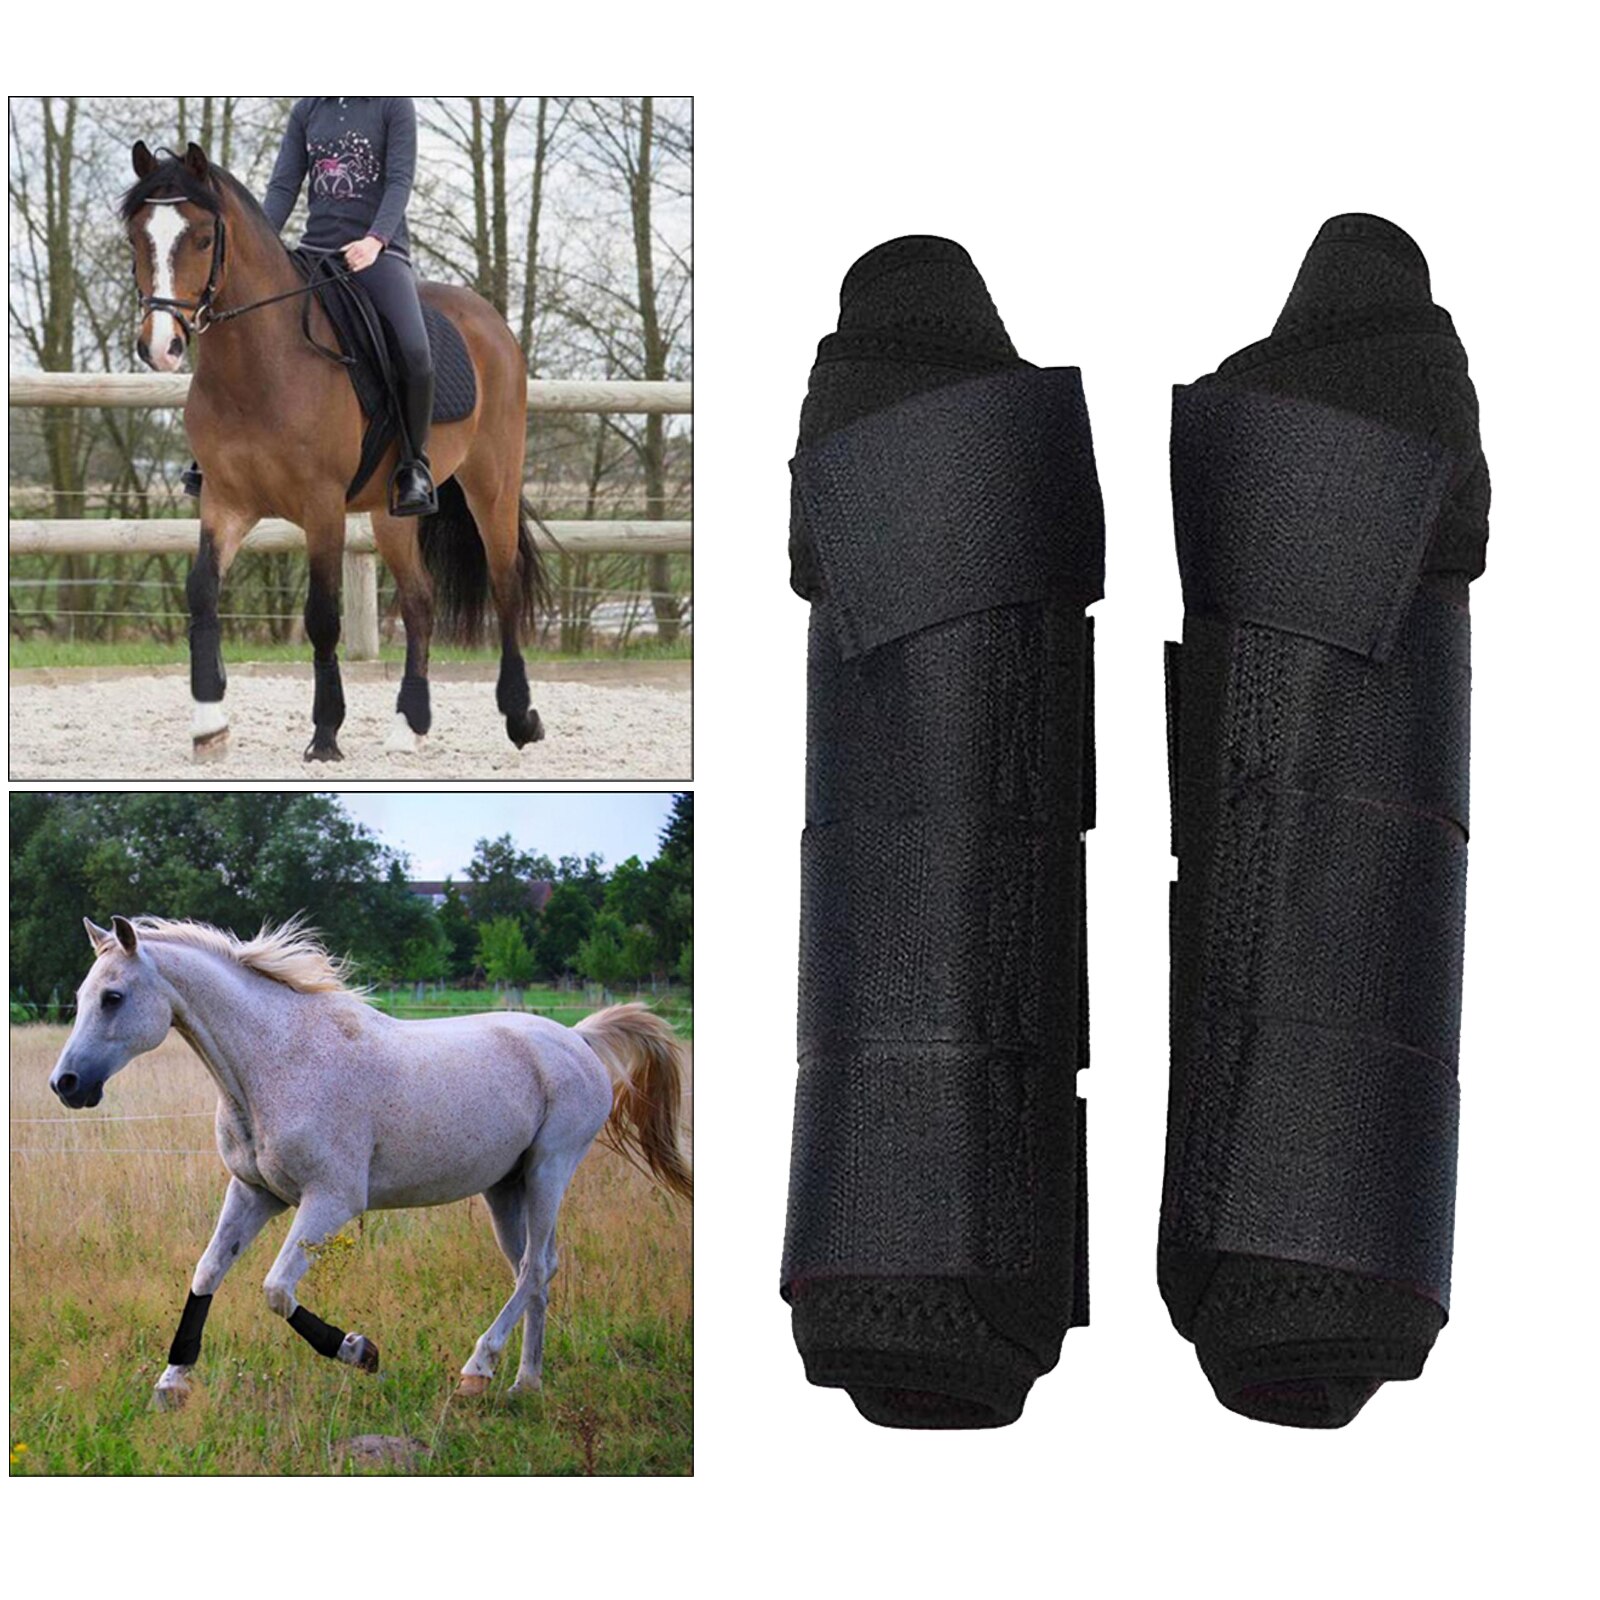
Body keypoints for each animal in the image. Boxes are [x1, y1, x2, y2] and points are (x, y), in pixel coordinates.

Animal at [48, 915, 692, 1410]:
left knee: (535, 1268)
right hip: (505, 1187)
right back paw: (523, 1385)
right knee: (534, 1271)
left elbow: (276, 1289)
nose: (66, 1084)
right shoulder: (254, 1193)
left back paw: (477, 1370)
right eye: (79, 998)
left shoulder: (330, 1200)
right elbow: (207, 1273)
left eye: (113, 997)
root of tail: (578, 1039)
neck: (275, 1062)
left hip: (549, 1170)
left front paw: (359, 1351)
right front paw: (171, 1384)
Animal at [120, 141, 550, 763]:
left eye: (201, 238)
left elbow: (322, 617)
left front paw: (325, 734)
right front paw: (208, 724)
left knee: (506, 586)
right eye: (136, 237)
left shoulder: (320, 505)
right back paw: (409, 725)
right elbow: (201, 592)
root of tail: (490, 321)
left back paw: (520, 718)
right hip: (392, 511)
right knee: (420, 599)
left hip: (492, 483)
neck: (262, 364)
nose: (161, 347)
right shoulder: (226, 502)